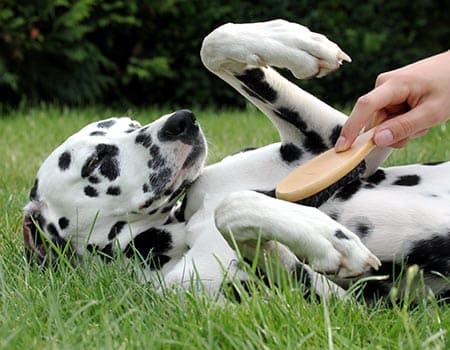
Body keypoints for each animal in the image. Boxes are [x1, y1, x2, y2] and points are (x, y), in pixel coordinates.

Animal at [23, 19, 450, 298]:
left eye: (131, 124)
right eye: (95, 163)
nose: (181, 121)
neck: (181, 227)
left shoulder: (327, 142)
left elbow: (213, 41)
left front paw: (293, 40)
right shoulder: (335, 303)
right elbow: (233, 209)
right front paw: (327, 237)